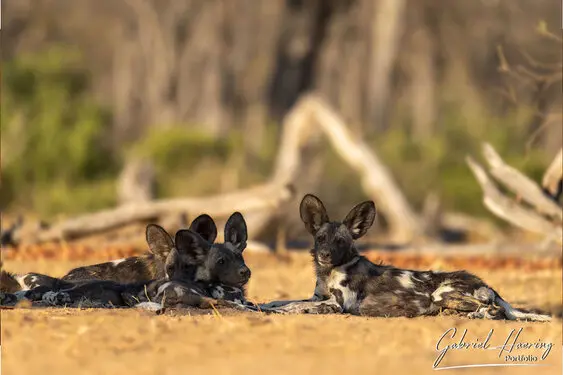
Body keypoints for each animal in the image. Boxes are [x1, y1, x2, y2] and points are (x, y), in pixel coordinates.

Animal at [260, 194, 552, 324]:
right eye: (321, 238)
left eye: (340, 241)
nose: (324, 255)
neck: (330, 273)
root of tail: (488, 285)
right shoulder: (318, 297)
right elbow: (284, 300)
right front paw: (265, 304)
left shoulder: (336, 305)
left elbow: (293, 307)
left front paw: (276, 311)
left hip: (442, 293)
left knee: (495, 311)